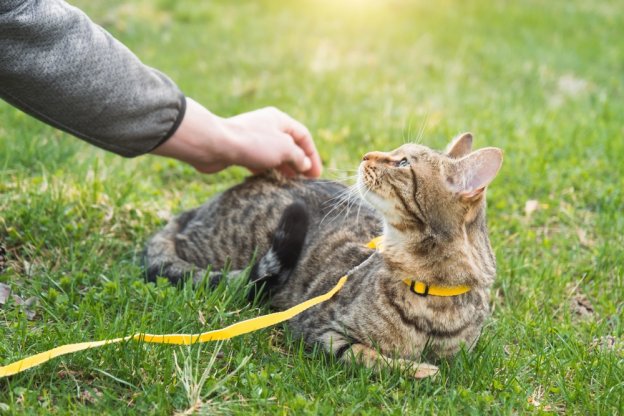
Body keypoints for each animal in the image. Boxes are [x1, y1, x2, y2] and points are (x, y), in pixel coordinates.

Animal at [145, 132, 502, 376]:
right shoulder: (322, 331)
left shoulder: (463, 357)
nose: (366, 155)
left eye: (403, 163)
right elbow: (370, 357)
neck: (429, 291)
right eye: (396, 153)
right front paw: (419, 371)